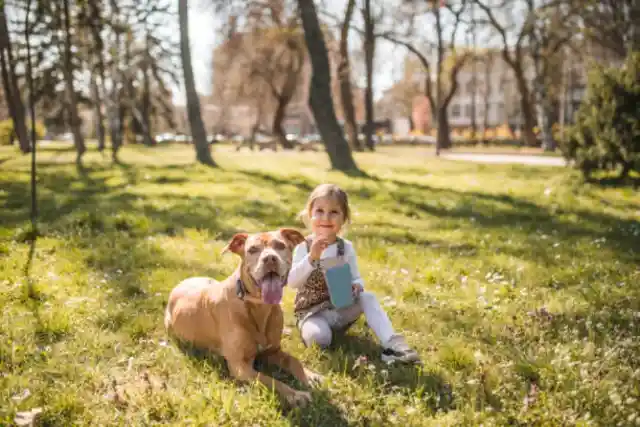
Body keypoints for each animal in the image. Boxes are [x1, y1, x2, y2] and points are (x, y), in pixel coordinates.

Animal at [164, 231, 320, 408]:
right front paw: (295, 394)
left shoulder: (272, 351)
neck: (258, 305)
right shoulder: (240, 366)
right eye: (252, 249)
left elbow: (293, 360)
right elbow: (270, 380)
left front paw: (309, 376)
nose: (270, 258)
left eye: (280, 245)